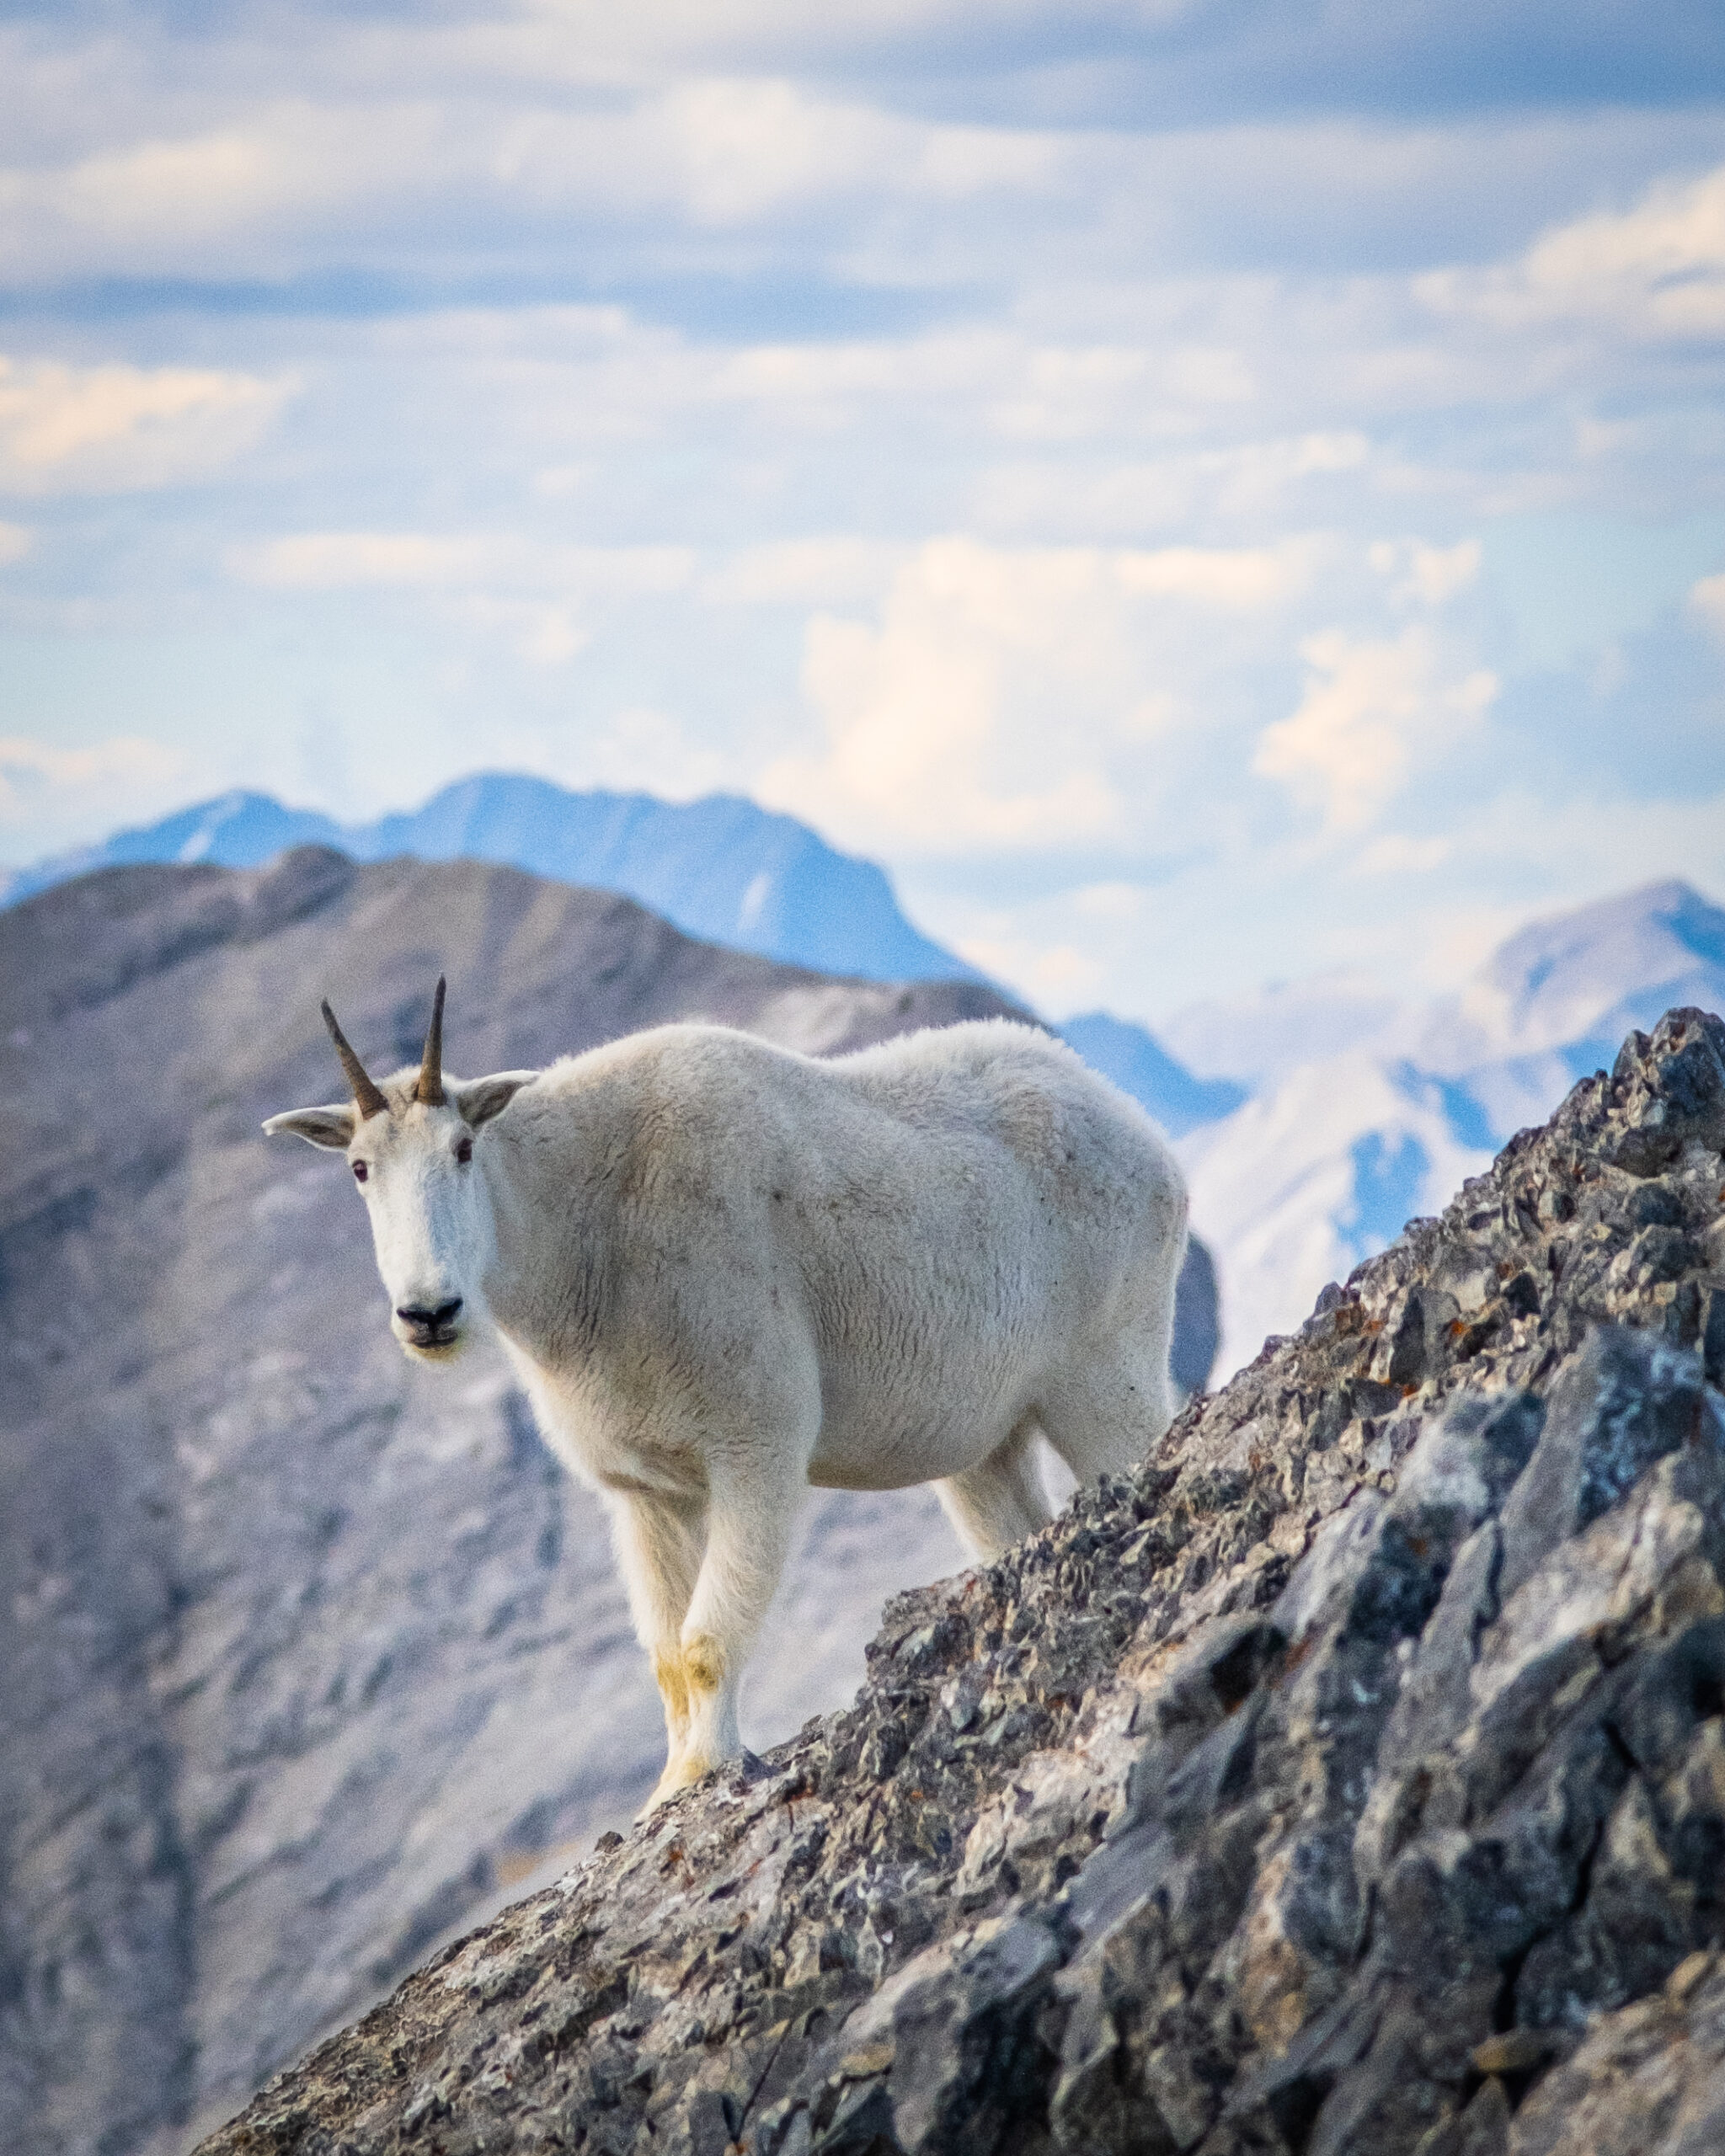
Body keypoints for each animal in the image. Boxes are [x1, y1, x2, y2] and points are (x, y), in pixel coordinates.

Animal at [266, 987, 1190, 1811]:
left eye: (462, 1149)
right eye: (359, 1169)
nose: (429, 1313)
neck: (584, 1230)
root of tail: (1146, 1136)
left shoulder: (755, 1442)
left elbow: (707, 1639)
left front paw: (700, 1774)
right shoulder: (646, 1491)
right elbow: (666, 1655)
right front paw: (665, 1789)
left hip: (1104, 1368)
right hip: (982, 1437)